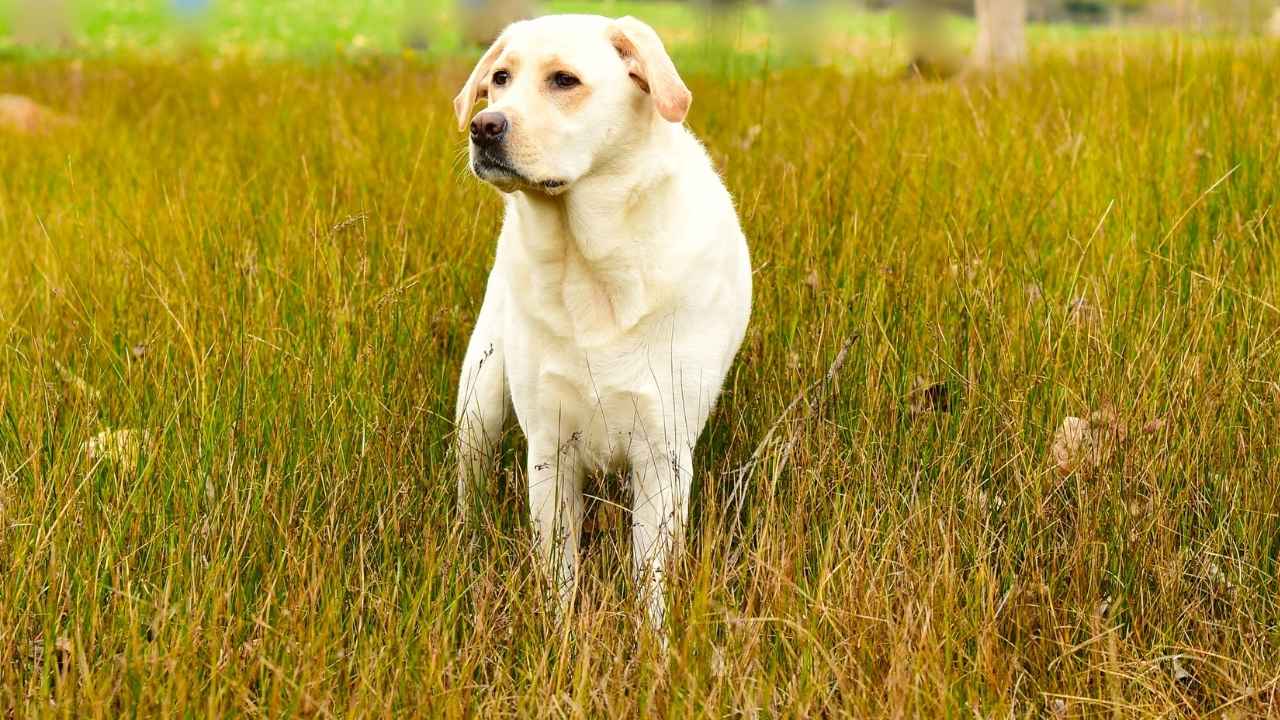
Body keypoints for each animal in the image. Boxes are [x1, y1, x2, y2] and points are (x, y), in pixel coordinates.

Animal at [453, 14, 747, 625]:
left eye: (564, 80)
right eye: (500, 78)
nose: (484, 126)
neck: (587, 263)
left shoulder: (662, 454)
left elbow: (649, 585)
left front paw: (652, 644)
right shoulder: (549, 451)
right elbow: (559, 577)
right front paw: (561, 639)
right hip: (479, 401)